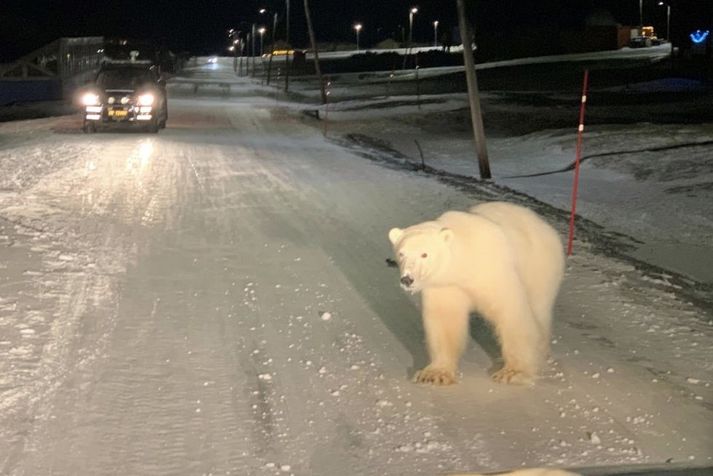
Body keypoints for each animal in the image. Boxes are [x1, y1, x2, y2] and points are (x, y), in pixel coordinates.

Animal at [386, 200, 564, 384]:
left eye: (424, 254)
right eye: (401, 253)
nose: (407, 279)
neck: (465, 260)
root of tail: (543, 224)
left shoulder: (491, 270)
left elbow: (510, 312)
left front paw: (512, 372)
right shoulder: (446, 284)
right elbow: (445, 321)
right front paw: (435, 374)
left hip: (539, 265)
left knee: (539, 308)